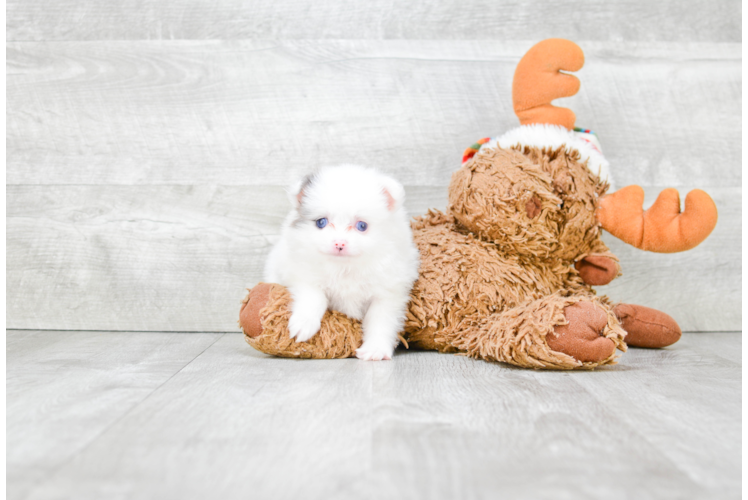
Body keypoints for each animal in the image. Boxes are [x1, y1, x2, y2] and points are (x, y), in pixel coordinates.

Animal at [266, 166, 420, 362]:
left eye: (362, 226)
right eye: (321, 222)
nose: (339, 243)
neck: (345, 267)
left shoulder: (388, 295)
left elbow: (380, 321)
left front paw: (375, 349)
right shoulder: (302, 275)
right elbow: (314, 297)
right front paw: (304, 323)